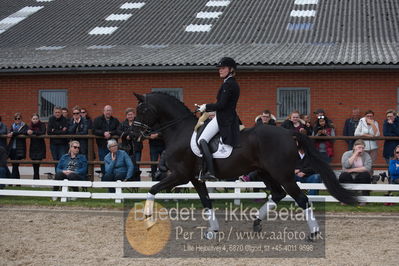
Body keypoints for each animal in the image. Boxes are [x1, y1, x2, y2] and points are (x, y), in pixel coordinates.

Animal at [133, 91, 358, 239]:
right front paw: (213, 231)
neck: (179, 130)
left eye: (142, 110)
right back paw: (257, 222)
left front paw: (147, 216)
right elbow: (206, 202)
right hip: (266, 173)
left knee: (301, 199)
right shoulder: (195, 179)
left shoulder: (180, 174)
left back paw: (313, 233)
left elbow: (153, 189)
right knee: (278, 194)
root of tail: (289, 132)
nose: (133, 133)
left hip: (282, 174)